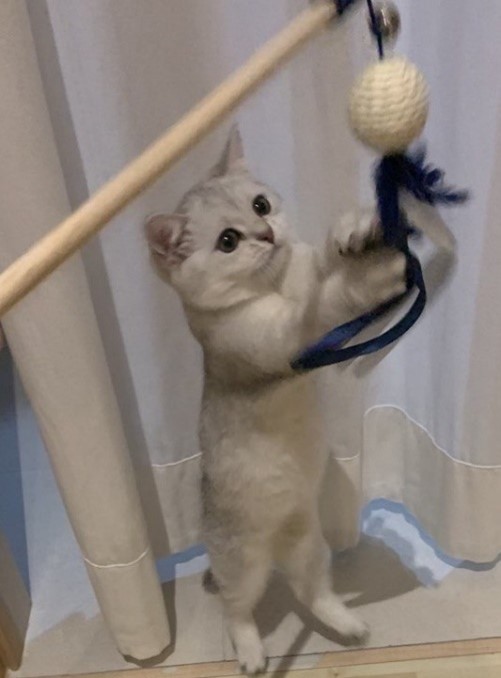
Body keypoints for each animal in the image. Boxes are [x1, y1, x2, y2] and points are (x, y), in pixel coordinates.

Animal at [145, 126, 406, 676]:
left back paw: (347, 624)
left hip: (310, 547)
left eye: (260, 205)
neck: (273, 285)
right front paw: (369, 273)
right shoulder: (284, 338)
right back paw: (250, 652)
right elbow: (321, 301)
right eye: (228, 241)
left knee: (311, 592)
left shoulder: (303, 269)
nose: (266, 233)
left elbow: (321, 262)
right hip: (243, 565)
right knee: (235, 609)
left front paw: (355, 230)